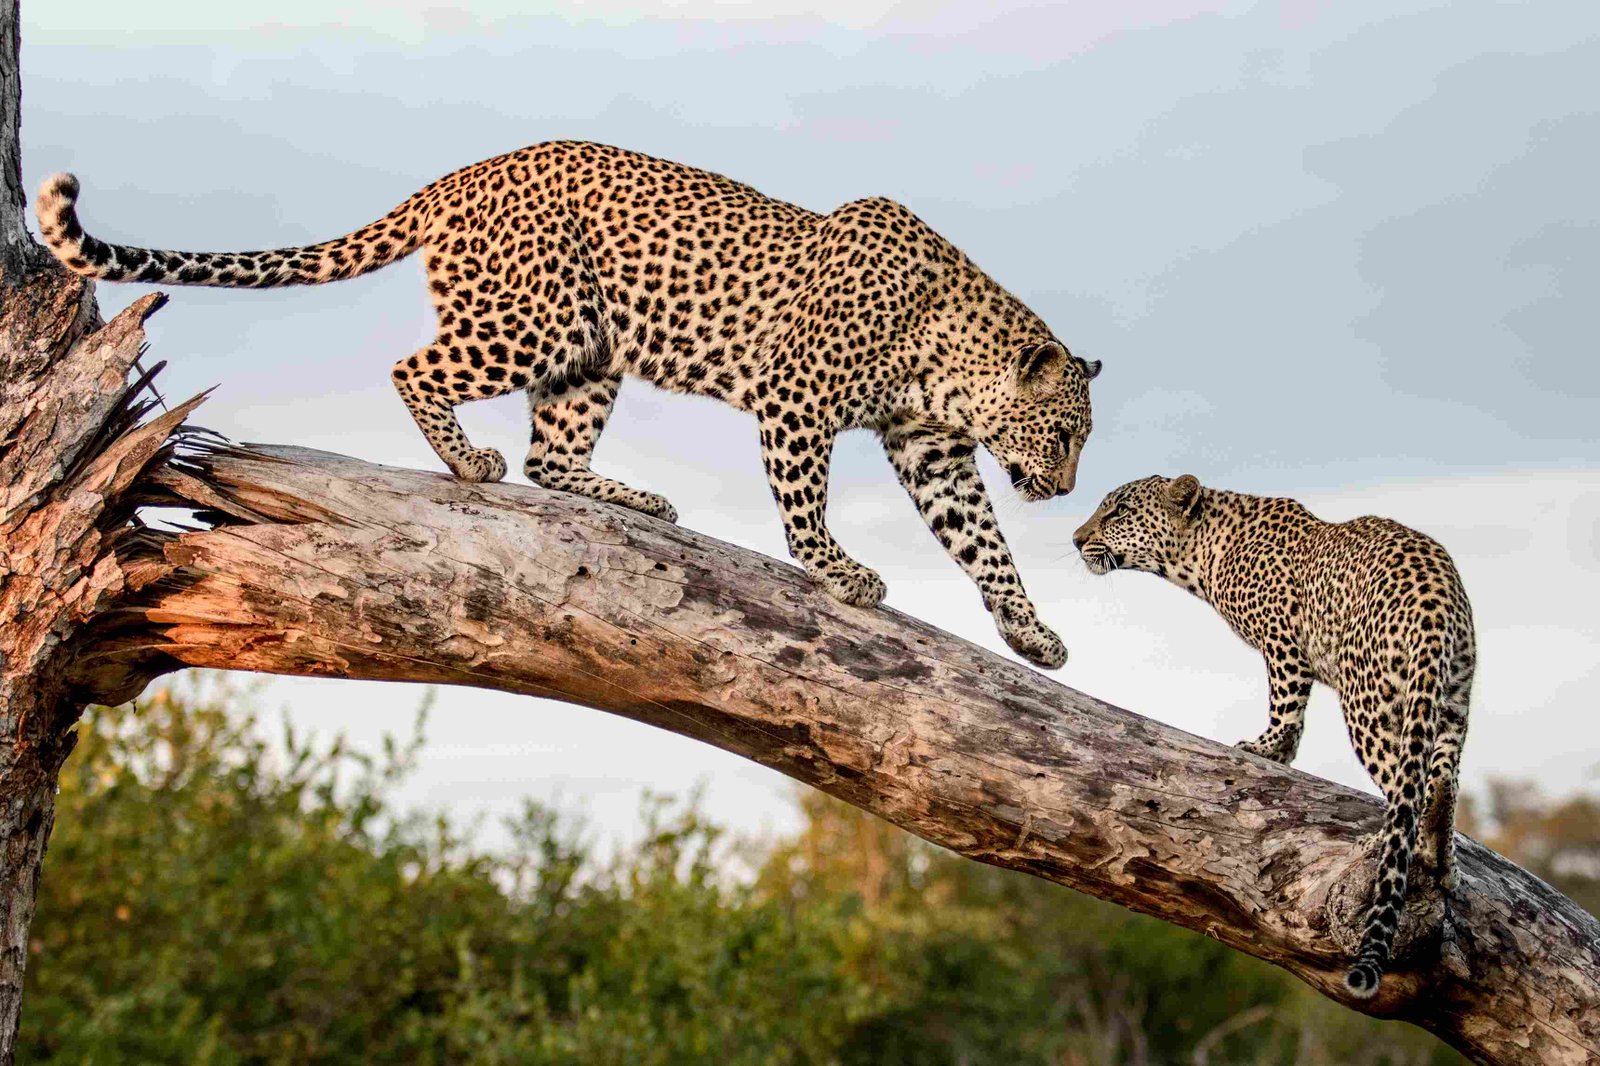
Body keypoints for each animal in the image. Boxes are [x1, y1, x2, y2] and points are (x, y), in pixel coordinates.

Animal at [35, 140, 1102, 668]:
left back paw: (630, 497)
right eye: (1064, 435)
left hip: (591, 348)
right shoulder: (797, 398)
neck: (947, 359)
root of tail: (468, 170)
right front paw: (840, 574)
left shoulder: (933, 451)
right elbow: (805, 503)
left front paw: (1033, 633)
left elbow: (984, 545)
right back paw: (467, 461)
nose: (1059, 492)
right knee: (416, 370)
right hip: (536, 317)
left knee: (552, 456)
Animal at [1072, 474, 1473, 998]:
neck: (1202, 552)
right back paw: (1444, 864)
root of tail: (1435, 591)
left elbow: (1286, 709)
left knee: (1408, 785)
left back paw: (1390, 845)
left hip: (1367, 694)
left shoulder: (1282, 643)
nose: (1076, 539)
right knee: (1443, 779)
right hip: (1451, 698)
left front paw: (1267, 748)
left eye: (1117, 512)